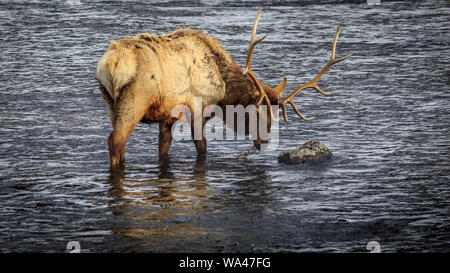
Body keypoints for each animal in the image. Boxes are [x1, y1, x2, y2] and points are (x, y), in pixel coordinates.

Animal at [96, 5, 352, 168]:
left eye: (274, 115)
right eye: (256, 112)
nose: (264, 142)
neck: (223, 90)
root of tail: (109, 63)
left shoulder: (167, 116)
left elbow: (163, 148)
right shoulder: (197, 110)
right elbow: (202, 148)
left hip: (109, 103)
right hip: (135, 99)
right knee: (115, 141)